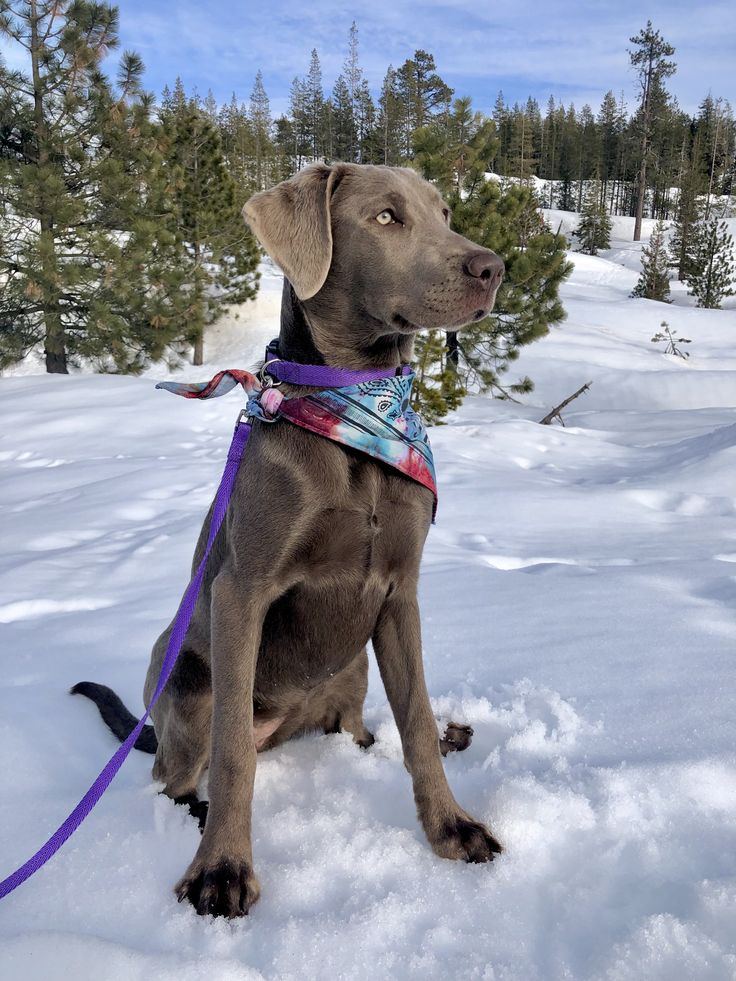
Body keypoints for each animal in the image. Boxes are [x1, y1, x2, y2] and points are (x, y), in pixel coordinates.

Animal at [75, 163, 506, 920]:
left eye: (445, 212)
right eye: (386, 217)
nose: (493, 269)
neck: (358, 406)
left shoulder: (400, 592)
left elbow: (415, 721)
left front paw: (452, 827)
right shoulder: (241, 590)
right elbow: (233, 757)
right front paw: (221, 870)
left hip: (349, 667)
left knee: (360, 730)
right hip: (185, 678)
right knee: (178, 775)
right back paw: (197, 814)